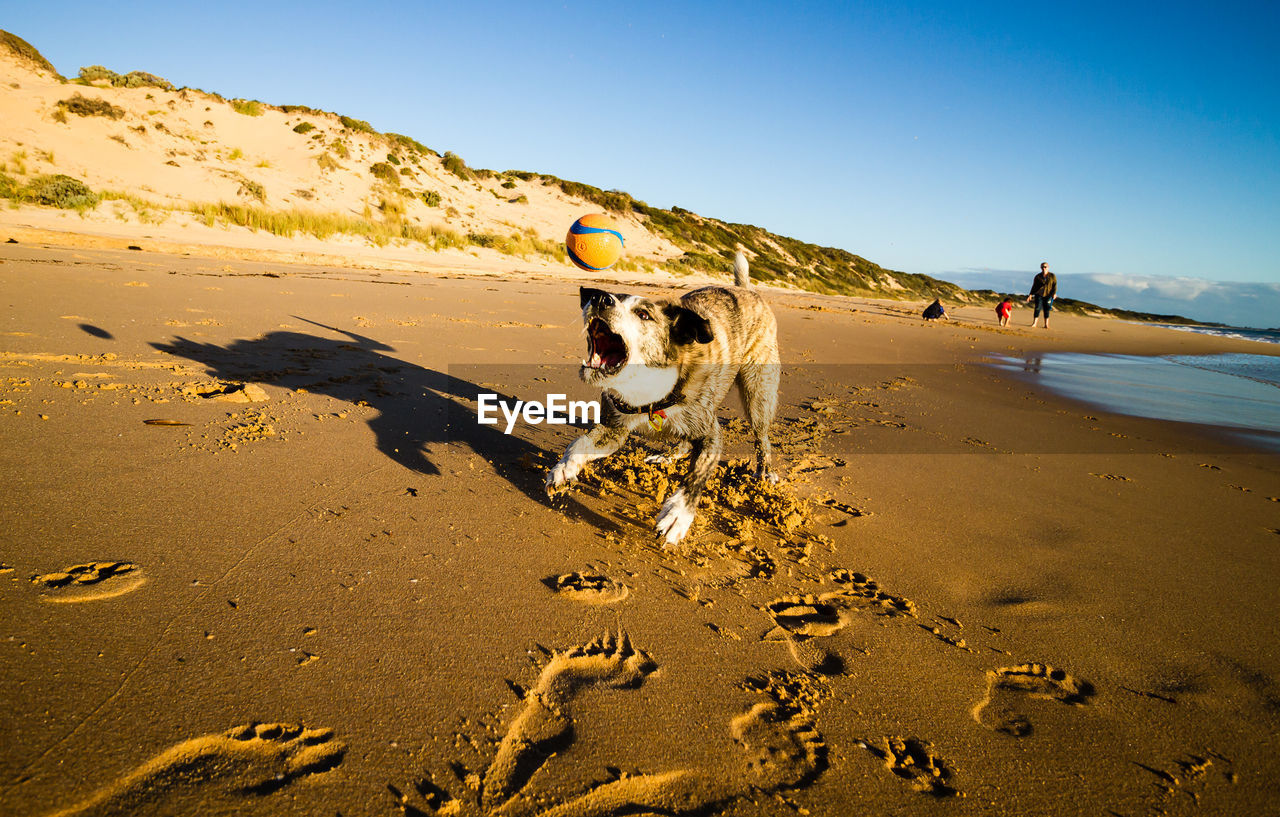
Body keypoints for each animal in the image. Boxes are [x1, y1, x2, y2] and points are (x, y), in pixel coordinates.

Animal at [542, 249, 773, 542]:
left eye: (643, 314)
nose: (599, 297)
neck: (646, 390)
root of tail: (746, 290)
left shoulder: (710, 434)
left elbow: (697, 474)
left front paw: (678, 515)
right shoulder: (613, 430)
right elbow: (579, 444)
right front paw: (563, 470)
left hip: (758, 391)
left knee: (762, 436)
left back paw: (764, 474)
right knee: (685, 441)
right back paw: (667, 456)